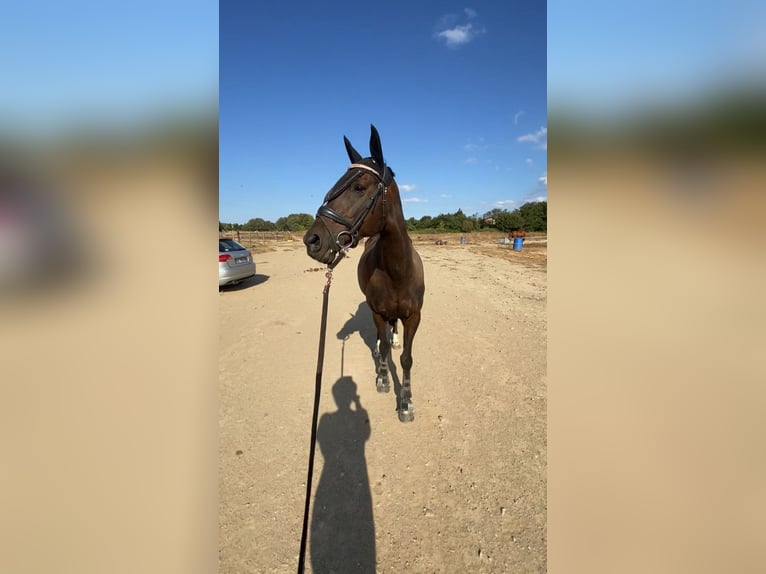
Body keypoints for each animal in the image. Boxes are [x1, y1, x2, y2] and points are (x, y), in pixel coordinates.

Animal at [303, 125, 425, 422]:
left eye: (358, 187)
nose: (312, 241)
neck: (398, 271)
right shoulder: (378, 312)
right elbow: (381, 347)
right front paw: (383, 379)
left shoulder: (414, 317)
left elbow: (406, 359)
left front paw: (406, 403)